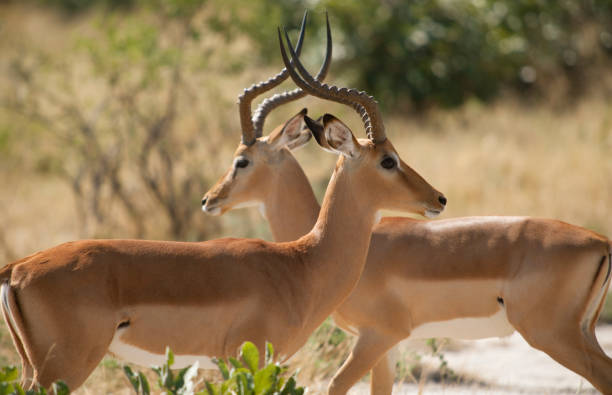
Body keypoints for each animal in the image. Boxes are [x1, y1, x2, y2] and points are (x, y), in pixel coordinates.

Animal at [0, 16, 444, 392]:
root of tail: (17, 269)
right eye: (388, 160)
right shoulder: (252, 360)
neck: (300, 265)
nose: (438, 198)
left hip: (32, 368)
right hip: (63, 368)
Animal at [202, 25, 612, 395]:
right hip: (580, 332)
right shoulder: (387, 345)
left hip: (553, 335)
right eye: (388, 160)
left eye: (241, 161)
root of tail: (600, 242)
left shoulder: (378, 335)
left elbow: (335, 385)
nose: (208, 199)